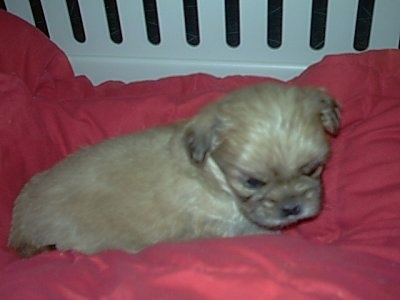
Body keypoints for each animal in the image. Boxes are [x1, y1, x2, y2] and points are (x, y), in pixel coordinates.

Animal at [7, 83, 340, 256]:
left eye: (312, 169)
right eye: (252, 182)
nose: (292, 207)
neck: (212, 175)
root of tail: (18, 225)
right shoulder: (233, 227)